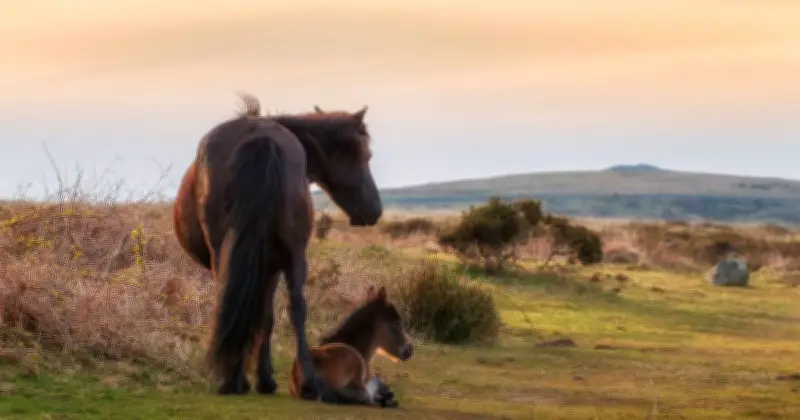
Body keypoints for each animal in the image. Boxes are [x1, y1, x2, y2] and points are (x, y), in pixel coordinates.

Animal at [172, 93, 383, 400]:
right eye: (367, 156)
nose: (374, 210)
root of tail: (260, 137)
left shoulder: (266, 267)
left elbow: (262, 317)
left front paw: (260, 378)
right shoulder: (272, 266)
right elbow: (266, 317)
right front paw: (262, 378)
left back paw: (235, 379)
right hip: (291, 254)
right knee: (295, 307)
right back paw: (306, 382)